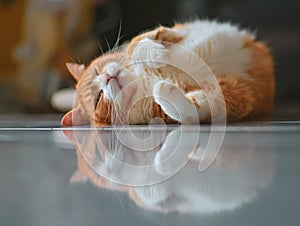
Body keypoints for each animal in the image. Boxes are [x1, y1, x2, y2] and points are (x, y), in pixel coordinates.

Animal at [61, 19, 274, 126]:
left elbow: (139, 43)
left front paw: (157, 53)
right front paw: (164, 90)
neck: (143, 78)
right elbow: (193, 108)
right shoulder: (235, 95)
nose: (106, 77)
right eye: (98, 98)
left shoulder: (167, 32)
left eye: (97, 70)